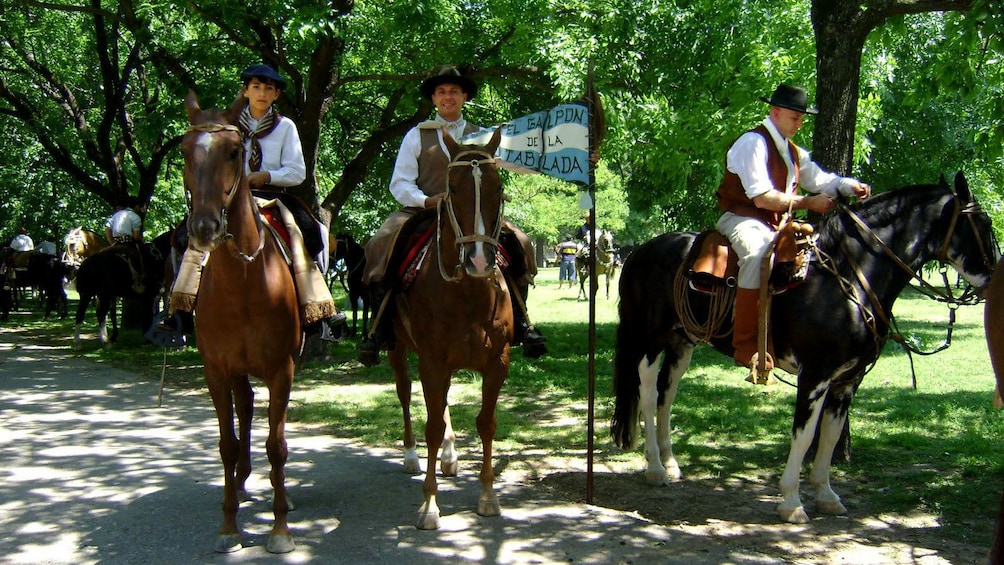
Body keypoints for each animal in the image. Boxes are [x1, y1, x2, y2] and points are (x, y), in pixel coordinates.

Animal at [180, 91, 299, 553]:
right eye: (184, 151)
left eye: (235, 151)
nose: (205, 227)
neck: (245, 281)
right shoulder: (216, 369)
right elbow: (227, 445)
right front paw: (229, 525)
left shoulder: (281, 369)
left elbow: (277, 445)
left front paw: (280, 528)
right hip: (235, 370)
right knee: (245, 407)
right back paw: (243, 481)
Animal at [387, 128, 514, 529]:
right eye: (453, 189)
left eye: (497, 187)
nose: (479, 260)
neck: (468, 293)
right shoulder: (431, 362)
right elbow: (431, 425)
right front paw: (429, 503)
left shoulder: (497, 364)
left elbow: (486, 423)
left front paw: (488, 495)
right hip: (398, 349)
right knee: (405, 394)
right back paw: (411, 456)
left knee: (442, 404)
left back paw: (449, 456)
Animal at [610, 170, 995, 525]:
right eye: (984, 223)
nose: (992, 280)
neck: (849, 278)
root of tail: (639, 252)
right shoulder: (815, 376)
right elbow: (805, 434)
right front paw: (792, 502)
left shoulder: (846, 382)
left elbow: (830, 436)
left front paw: (826, 494)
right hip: (649, 341)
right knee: (647, 395)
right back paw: (655, 469)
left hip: (682, 344)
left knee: (665, 397)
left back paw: (671, 465)